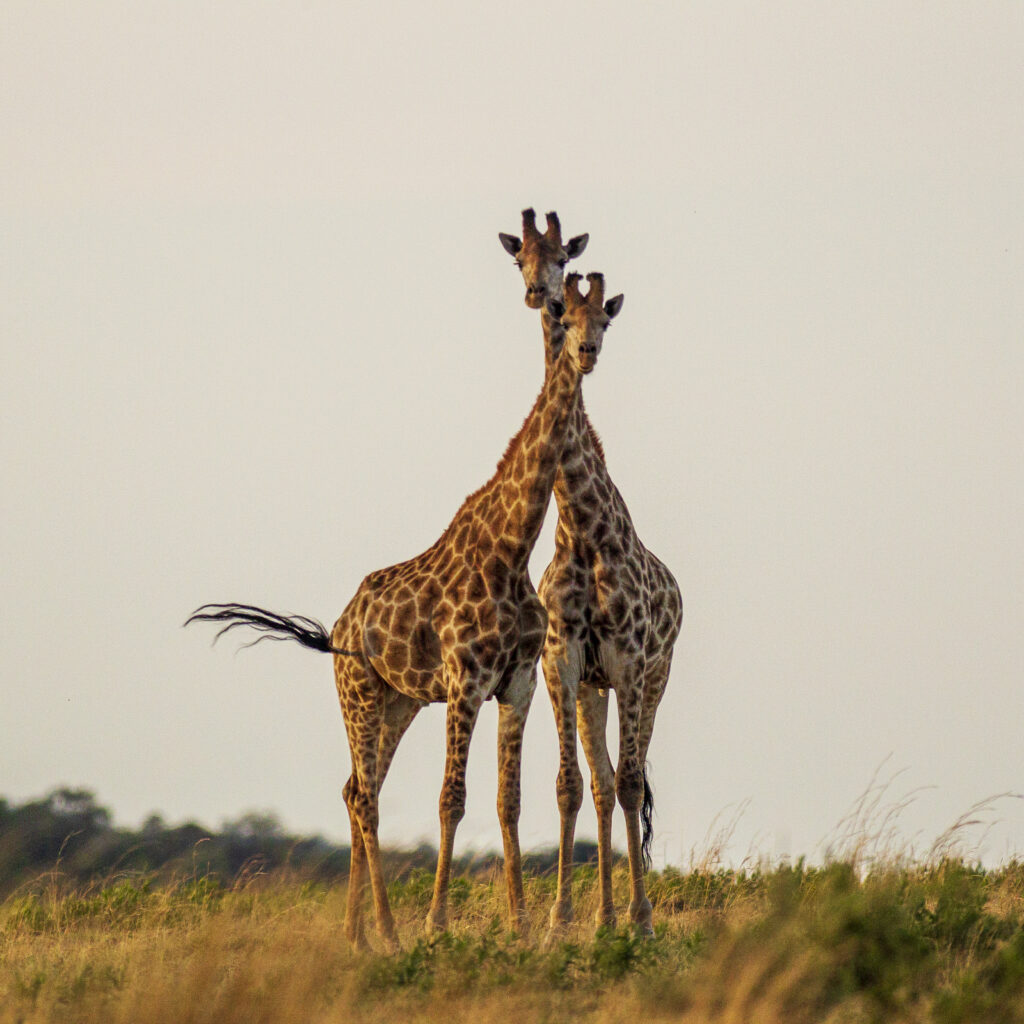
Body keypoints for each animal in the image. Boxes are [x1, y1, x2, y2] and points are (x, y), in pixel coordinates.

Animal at [184, 278, 614, 950]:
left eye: (605, 319)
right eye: (565, 318)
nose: (588, 352)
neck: (511, 549)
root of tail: (338, 629)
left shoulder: (514, 682)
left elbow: (508, 799)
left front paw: (519, 925)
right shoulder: (465, 681)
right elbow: (451, 798)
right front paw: (438, 924)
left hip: (399, 701)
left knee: (356, 788)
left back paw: (358, 932)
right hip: (358, 692)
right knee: (365, 797)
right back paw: (386, 930)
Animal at [499, 211, 684, 937]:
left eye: (601, 317)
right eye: (521, 257)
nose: (583, 350)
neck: (581, 527)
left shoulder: (630, 658)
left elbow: (632, 783)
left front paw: (641, 918)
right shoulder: (564, 659)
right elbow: (572, 785)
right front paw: (560, 919)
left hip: (653, 680)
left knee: (629, 780)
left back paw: (628, 912)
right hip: (593, 689)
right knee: (603, 784)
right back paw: (601, 914)